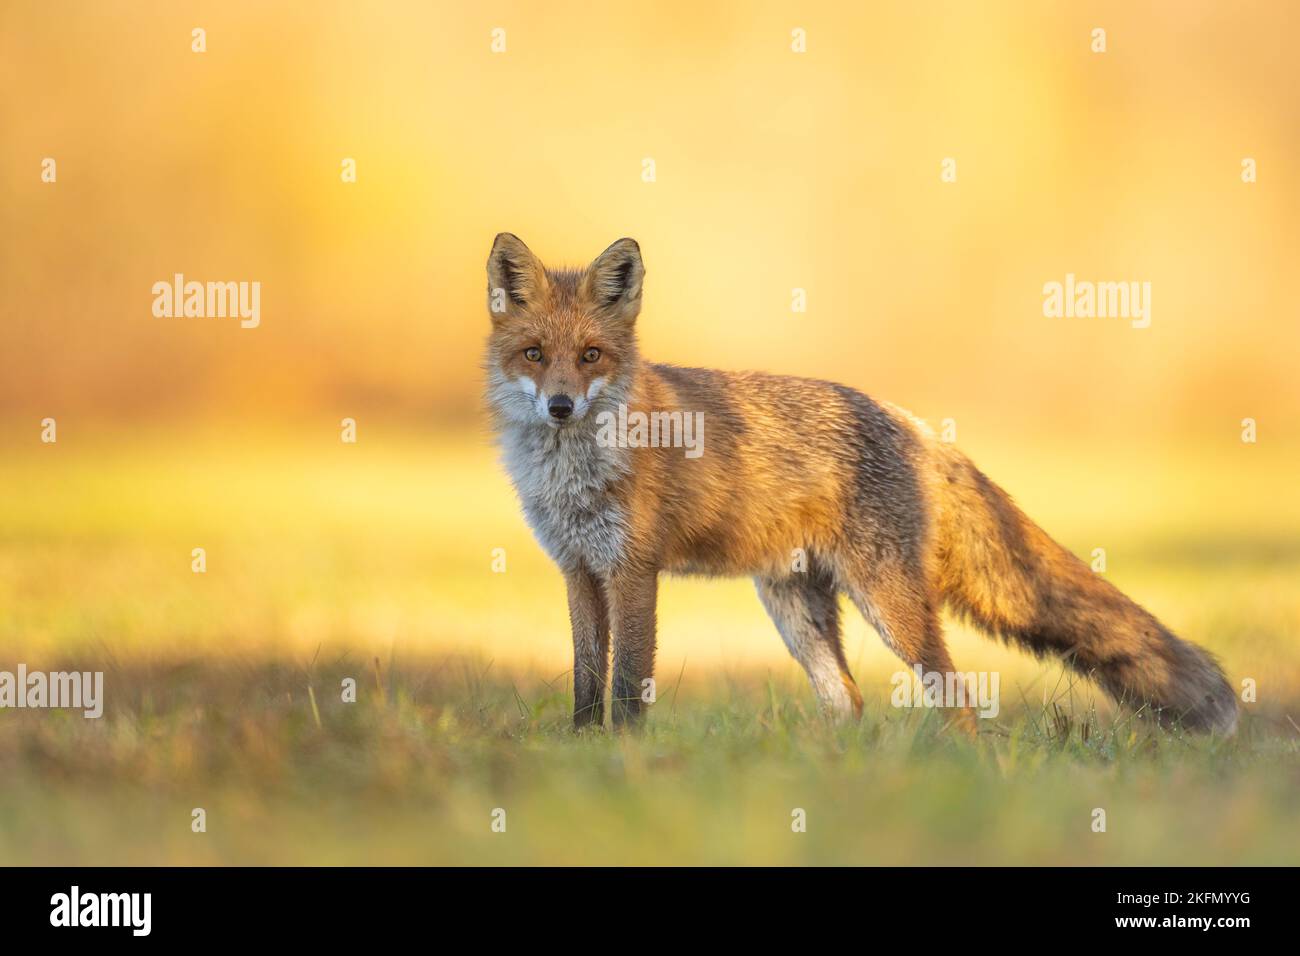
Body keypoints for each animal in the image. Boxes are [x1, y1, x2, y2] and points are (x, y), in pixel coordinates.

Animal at [486, 235, 1237, 738]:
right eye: (534, 354)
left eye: (591, 356)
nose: (560, 406)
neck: (569, 477)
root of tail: (913, 424)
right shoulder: (579, 569)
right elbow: (588, 677)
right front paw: (585, 751)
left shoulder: (635, 569)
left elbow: (627, 683)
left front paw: (626, 756)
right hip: (796, 609)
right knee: (850, 702)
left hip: (888, 604)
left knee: (957, 698)